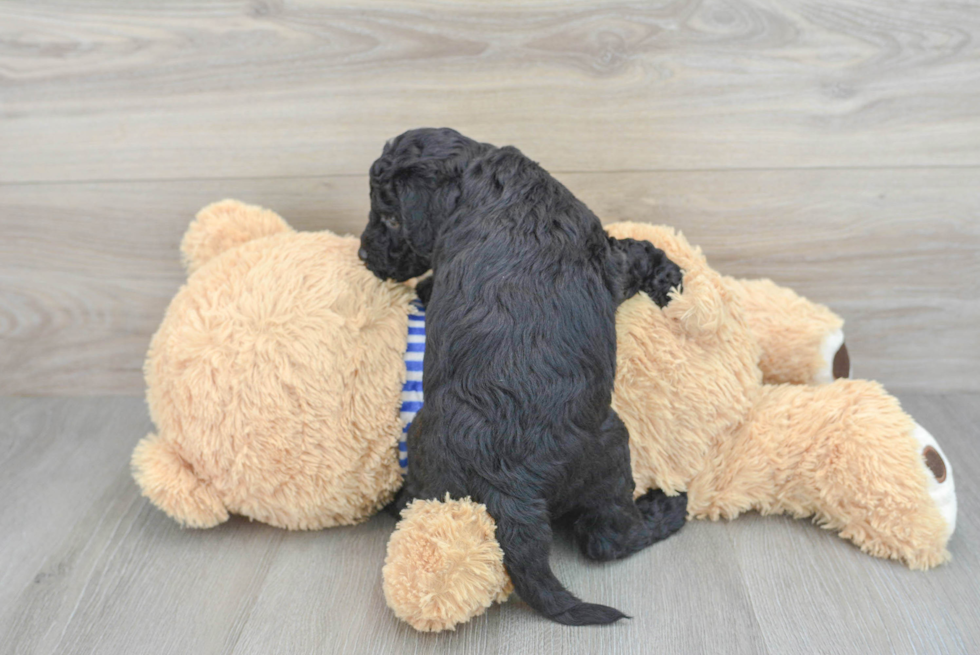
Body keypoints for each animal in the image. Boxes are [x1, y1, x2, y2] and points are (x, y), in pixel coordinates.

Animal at [360, 128, 688, 624]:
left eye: (391, 218)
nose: (363, 255)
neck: (478, 177)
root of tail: (506, 492)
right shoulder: (608, 258)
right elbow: (636, 250)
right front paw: (672, 277)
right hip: (611, 448)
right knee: (609, 537)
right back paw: (667, 509)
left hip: (423, 453)